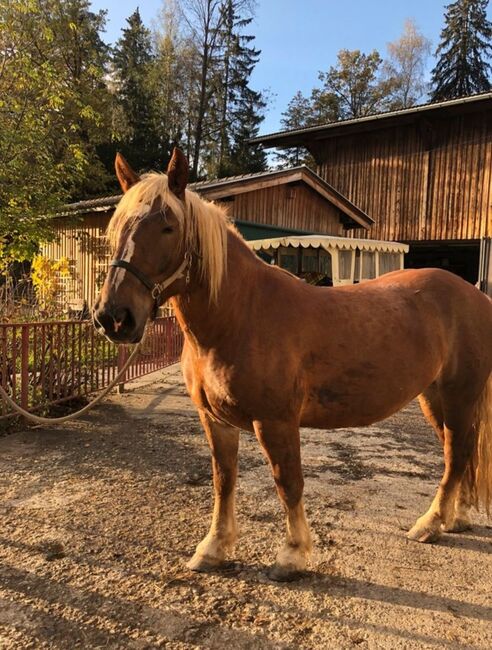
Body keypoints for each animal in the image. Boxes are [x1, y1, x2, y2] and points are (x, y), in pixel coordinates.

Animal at [93, 149, 492, 580]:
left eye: (168, 227)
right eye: (115, 228)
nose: (114, 318)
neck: (240, 315)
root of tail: (476, 295)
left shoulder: (275, 421)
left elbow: (288, 482)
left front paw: (292, 554)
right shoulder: (214, 419)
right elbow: (223, 481)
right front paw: (214, 548)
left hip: (459, 396)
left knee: (456, 454)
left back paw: (430, 524)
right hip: (434, 398)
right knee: (460, 453)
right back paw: (456, 518)